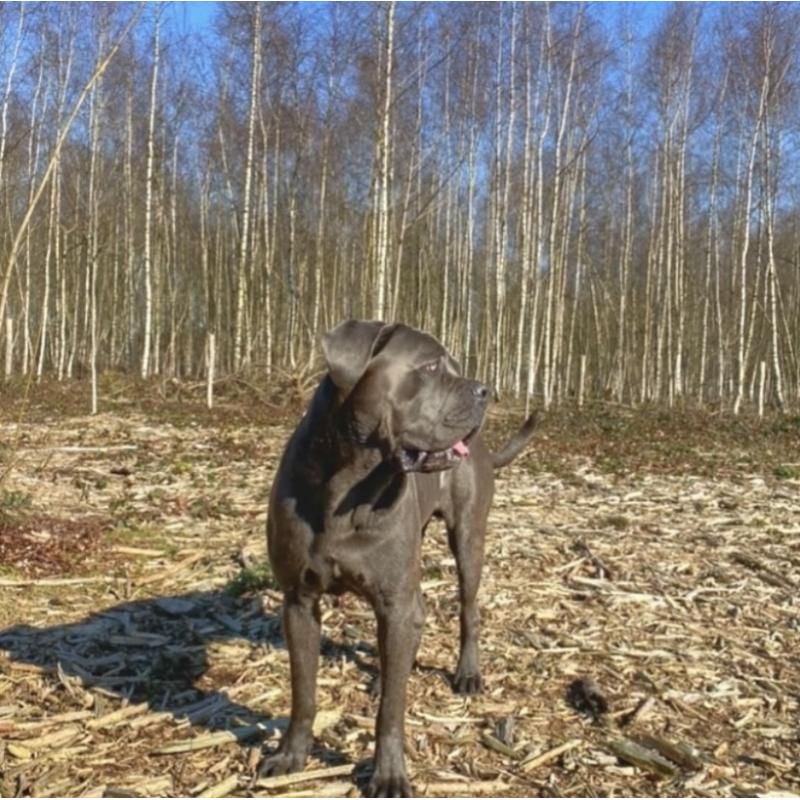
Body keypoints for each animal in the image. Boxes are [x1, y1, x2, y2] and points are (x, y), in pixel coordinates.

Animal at [260, 322, 536, 796]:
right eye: (430, 368)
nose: (484, 390)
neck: (347, 484)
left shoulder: (392, 599)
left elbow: (392, 708)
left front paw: (388, 773)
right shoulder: (298, 600)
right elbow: (303, 689)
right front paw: (291, 755)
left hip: (467, 538)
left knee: (468, 607)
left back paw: (466, 673)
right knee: (417, 617)